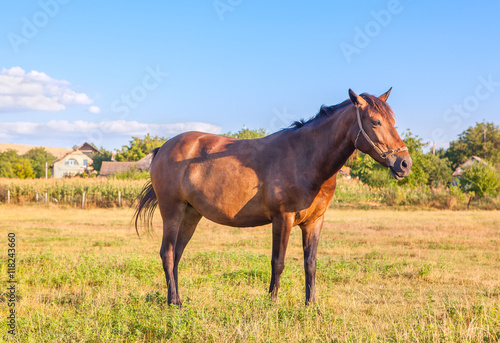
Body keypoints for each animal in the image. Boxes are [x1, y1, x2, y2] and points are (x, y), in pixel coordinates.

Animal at [135, 88, 412, 306]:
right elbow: (278, 262)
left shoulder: (314, 222)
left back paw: (177, 299)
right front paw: (272, 303)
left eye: (393, 120)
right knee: (168, 253)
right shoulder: (282, 219)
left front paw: (311, 305)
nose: (404, 163)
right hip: (172, 211)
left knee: (177, 255)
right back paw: (174, 303)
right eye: (375, 122)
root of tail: (163, 148)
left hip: (191, 214)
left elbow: (310, 263)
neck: (305, 157)